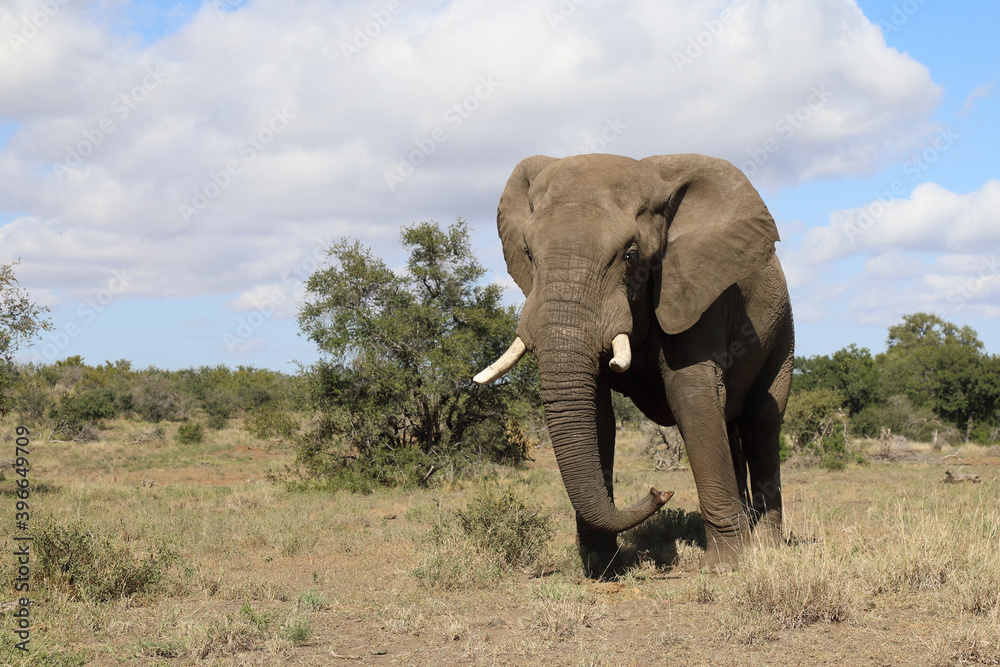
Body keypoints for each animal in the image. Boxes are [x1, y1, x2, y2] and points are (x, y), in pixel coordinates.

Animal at [475, 153, 794, 574]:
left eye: (630, 255)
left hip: (782, 330)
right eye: (527, 253)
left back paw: (767, 546)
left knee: (762, 421)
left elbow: (691, 396)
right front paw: (601, 568)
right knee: (732, 425)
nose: (660, 491)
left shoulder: (698, 287)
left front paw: (723, 567)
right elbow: (597, 414)